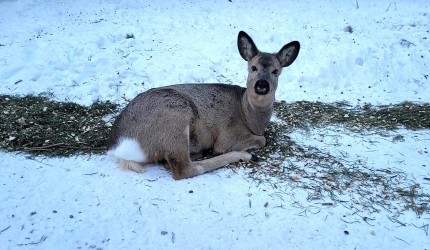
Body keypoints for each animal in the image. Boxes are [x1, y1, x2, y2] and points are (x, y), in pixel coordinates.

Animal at [107, 31, 298, 180]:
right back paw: (245, 155)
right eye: (253, 67)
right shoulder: (229, 134)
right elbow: (261, 140)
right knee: (182, 169)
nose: (262, 85)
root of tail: (117, 147)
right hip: (175, 116)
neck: (250, 117)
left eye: (276, 71)